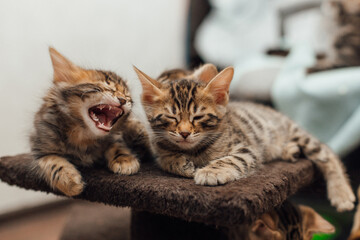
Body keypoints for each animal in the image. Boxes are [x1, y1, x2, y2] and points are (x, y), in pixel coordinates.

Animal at [134, 62, 354, 211]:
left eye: (198, 117)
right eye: (172, 117)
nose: (185, 133)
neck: (194, 150)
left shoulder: (247, 149)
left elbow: (231, 160)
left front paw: (210, 171)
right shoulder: (158, 145)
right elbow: (163, 157)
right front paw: (178, 162)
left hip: (299, 134)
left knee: (328, 154)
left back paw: (341, 192)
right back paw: (290, 151)